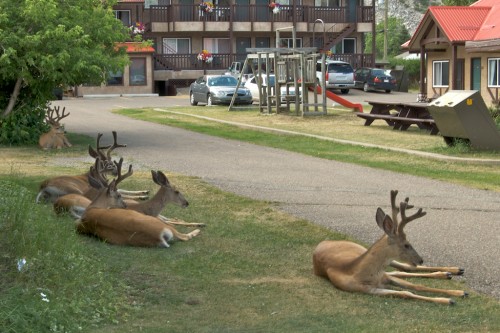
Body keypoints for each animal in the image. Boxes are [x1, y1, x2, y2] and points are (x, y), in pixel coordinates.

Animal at [312, 189, 468, 304]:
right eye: (406, 245)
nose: (421, 259)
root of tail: (323, 242)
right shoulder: (366, 289)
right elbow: (406, 293)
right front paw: (449, 300)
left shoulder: (384, 277)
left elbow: (416, 285)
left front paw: (459, 293)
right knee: (402, 270)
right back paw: (447, 273)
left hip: (362, 248)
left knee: (404, 268)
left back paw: (453, 270)